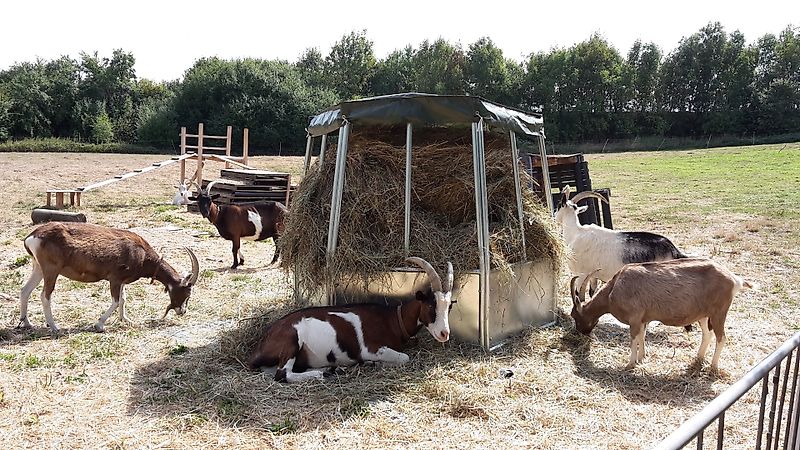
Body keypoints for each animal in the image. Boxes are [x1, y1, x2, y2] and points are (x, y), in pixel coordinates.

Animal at [18, 222, 200, 334]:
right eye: (187, 293)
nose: (182, 311)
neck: (142, 254)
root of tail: (32, 237)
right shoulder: (115, 278)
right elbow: (116, 301)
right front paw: (99, 325)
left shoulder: (122, 281)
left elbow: (123, 298)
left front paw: (126, 319)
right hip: (51, 270)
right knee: (45, 295)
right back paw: (55, 327)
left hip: (38, 267)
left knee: (25, 290)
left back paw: (27, 323)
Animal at [248, 258, 456, 382]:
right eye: (431, 306)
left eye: (449, 307)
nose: (444, 334)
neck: (393, 320)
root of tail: (261, 345)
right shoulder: (372, 348)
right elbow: (404, 357)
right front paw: (375, 363)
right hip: (292, 341)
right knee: (282, 374)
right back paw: (322, 373)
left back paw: (333, 369)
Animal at [556, 183, 688, 296]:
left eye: (558, 206)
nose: (554, 216)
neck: (576, 233)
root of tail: (674, 250)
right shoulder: (593, 276)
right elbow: (591, 293)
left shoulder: (581, 274)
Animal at [568, 258, 752, 370]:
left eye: (574, 315)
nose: (580, 332)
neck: (614, 289)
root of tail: (735, 280)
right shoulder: (643, 319)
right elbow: (642, 336)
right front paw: (642, 357)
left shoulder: (634, 318)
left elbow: (633, 338)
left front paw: (630, 364)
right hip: (704, 315)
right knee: (708, 335)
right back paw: (698, 358)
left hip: (719, 312)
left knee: (722, 337)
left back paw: (713, 367)